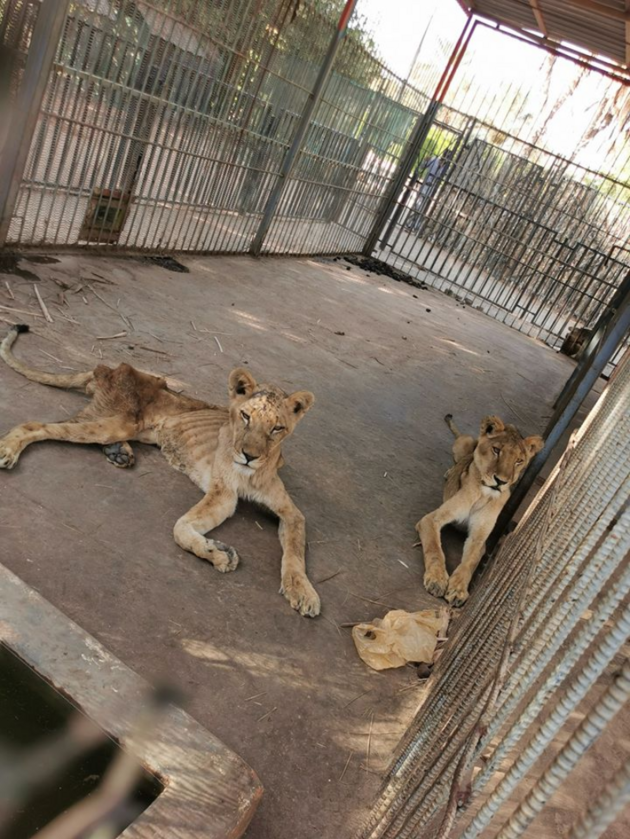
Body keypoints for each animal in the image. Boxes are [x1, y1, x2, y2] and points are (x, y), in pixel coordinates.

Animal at [0, 324, 320, 620]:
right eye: (245, 416)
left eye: (277, 428)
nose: (249, 456)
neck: (251, 472)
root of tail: (109, 368)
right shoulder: (223, 495)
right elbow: (181, 528)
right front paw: (219, 553)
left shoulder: (290, 512)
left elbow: (294, 550)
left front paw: (303, 592)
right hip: (116, 423)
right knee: (35, 425)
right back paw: (9, 449)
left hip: (129, 428)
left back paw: (118, 453)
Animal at [418, 416, 544, 608]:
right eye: (496, 450)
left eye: (519, 461)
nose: (501, 481)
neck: (483, 494)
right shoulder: (431, 519)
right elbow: (434, 549)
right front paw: (437, 580)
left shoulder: (479, 538)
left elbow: (469, 563)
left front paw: (458, 589)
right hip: (465, 442)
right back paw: (449, 471)